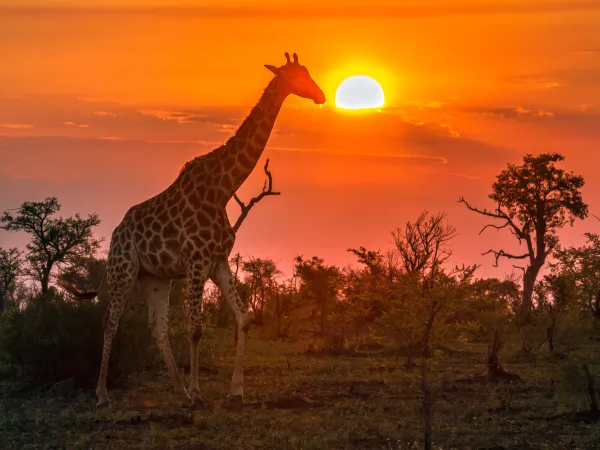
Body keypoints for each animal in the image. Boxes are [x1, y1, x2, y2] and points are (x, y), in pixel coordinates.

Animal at [71, 51, 328, 408]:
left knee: (157, 326)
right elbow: (195, 329)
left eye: (307, 72)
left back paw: (178, 391)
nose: (321, 95)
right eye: (297, 76)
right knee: (110, 320)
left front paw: (235, 391)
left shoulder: (218, 261)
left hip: (155, 277)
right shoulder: (196, 261)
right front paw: (198, 392)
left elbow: (243, 318)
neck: (222, 188)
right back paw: (103, 394)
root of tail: (116, 233)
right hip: (123, 269)